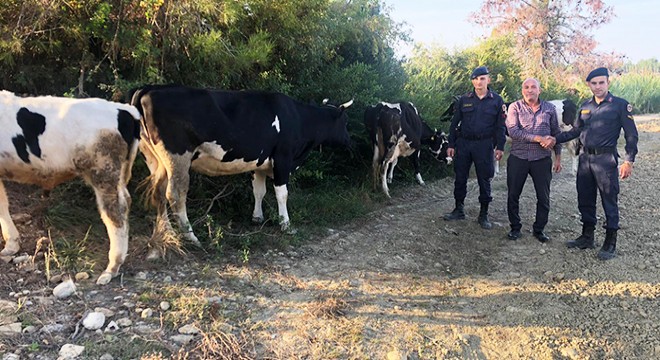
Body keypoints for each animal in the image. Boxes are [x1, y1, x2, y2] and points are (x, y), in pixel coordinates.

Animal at [0, 89, 141, 284]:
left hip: (103, 172)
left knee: (115, 213)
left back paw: (111, 268)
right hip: (117, 174)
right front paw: (11, 245)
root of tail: (123, 109)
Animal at [131, 85, 354, 252]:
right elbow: (282, 194)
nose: (349, 140)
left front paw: (257, 218)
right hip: (177, 157)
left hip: (154, 159)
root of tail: (149, 88)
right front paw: (286, 225)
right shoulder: (283, 159)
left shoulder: (260, 162)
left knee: (159, 192)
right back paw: (191, 237)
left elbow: (259, 191)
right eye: (345, 121)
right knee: (175, 194)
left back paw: (165, 231)